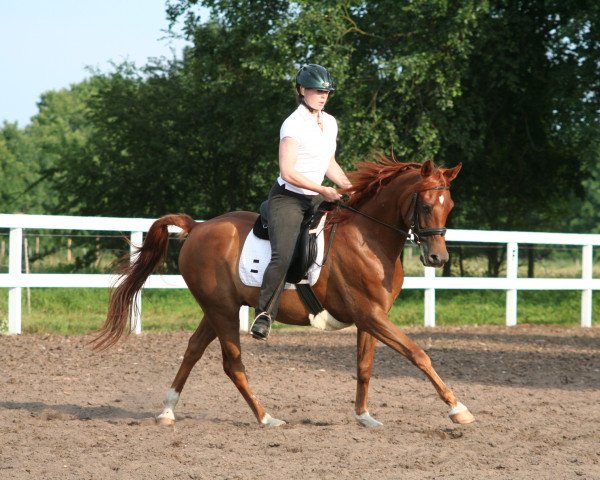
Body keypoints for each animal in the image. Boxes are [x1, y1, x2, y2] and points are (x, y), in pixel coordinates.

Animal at [92, 157, 474, 428]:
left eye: (450, 206)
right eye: (426, 206)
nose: (438, 258)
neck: (369, 237)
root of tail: (198, 227)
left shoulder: (372, 317)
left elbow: (365, 366)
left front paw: (364, 416)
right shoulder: (370, 315)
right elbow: (418, 354)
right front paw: (458, 409)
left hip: (216, 309)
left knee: (193, 350)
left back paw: (168, 411)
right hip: (223, 311)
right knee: (233, 364)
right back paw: (266, 417)